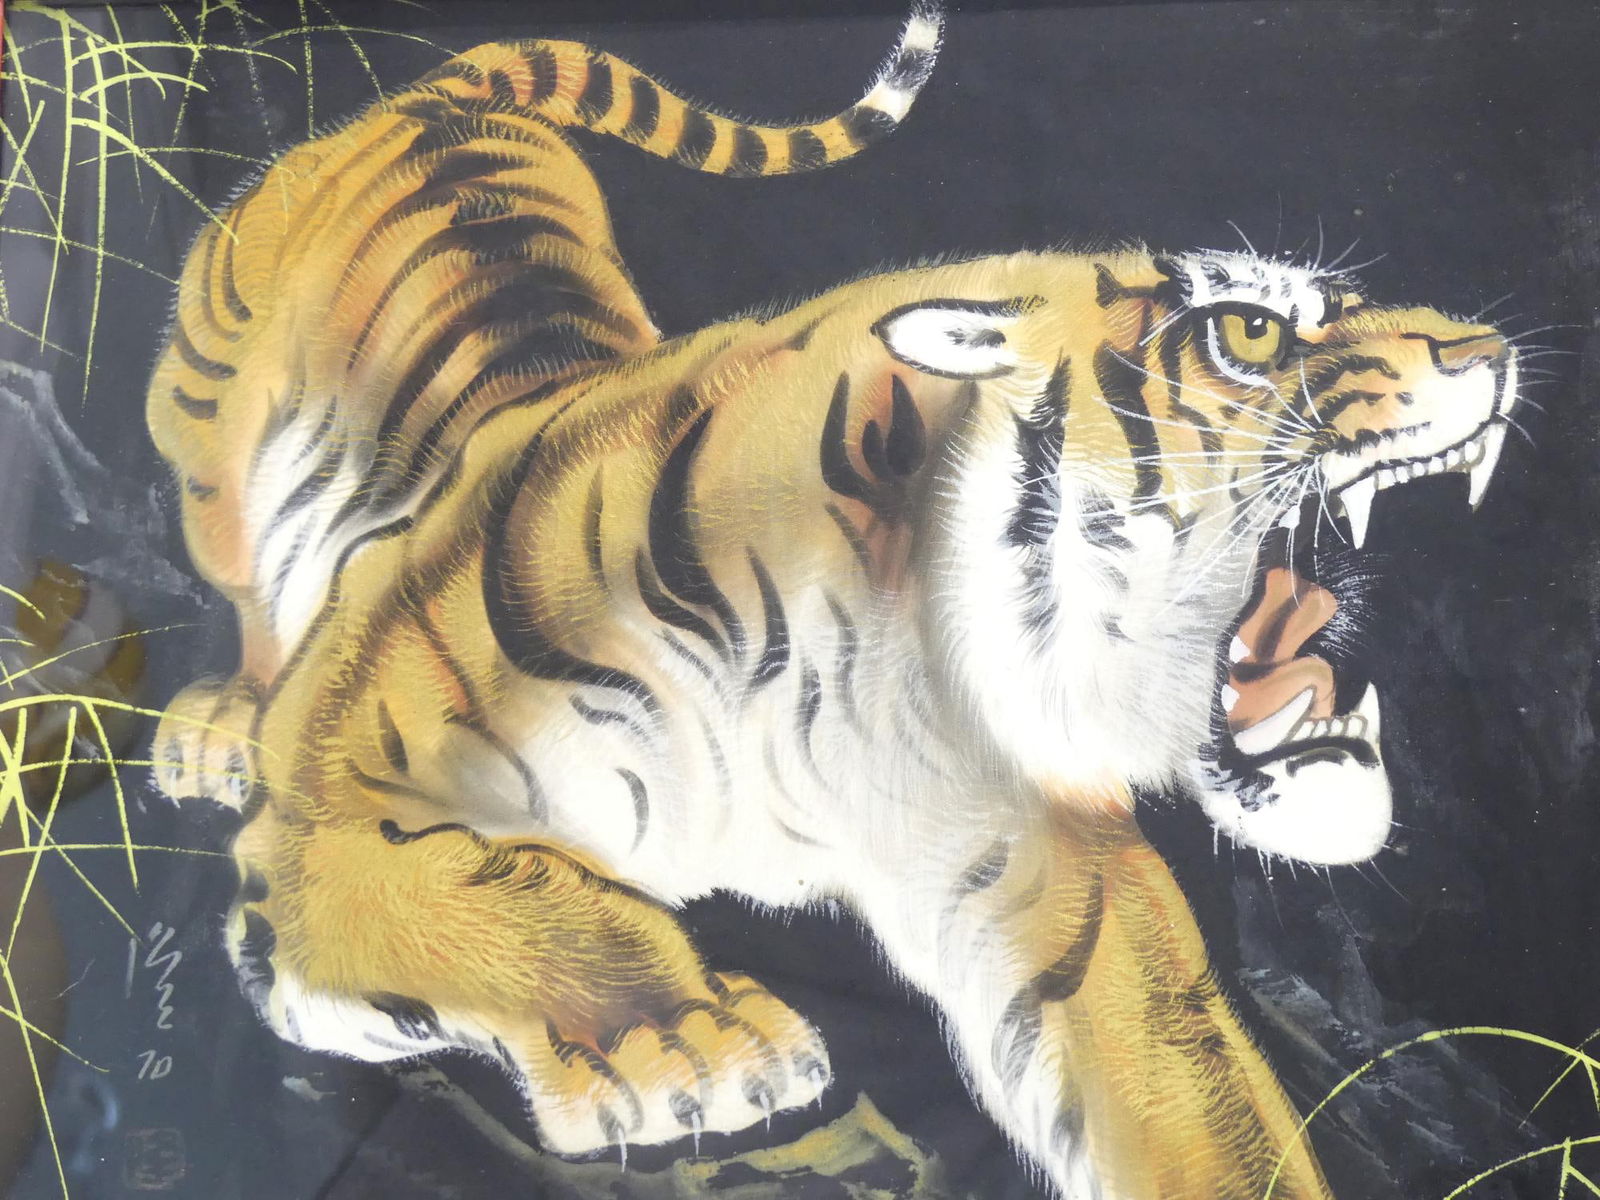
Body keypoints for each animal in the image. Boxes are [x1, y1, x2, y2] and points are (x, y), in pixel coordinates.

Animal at [142, 5, 1519, 1197]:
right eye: (1251, 332)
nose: (1495, 351)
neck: (883, 640)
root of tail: (438, 95)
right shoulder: (327, 799)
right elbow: (506, 891)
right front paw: (691, 1042)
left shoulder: (1039, 864)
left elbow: (1186, 1089)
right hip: (201, 426)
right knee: (248, 598)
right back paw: (214, 724)